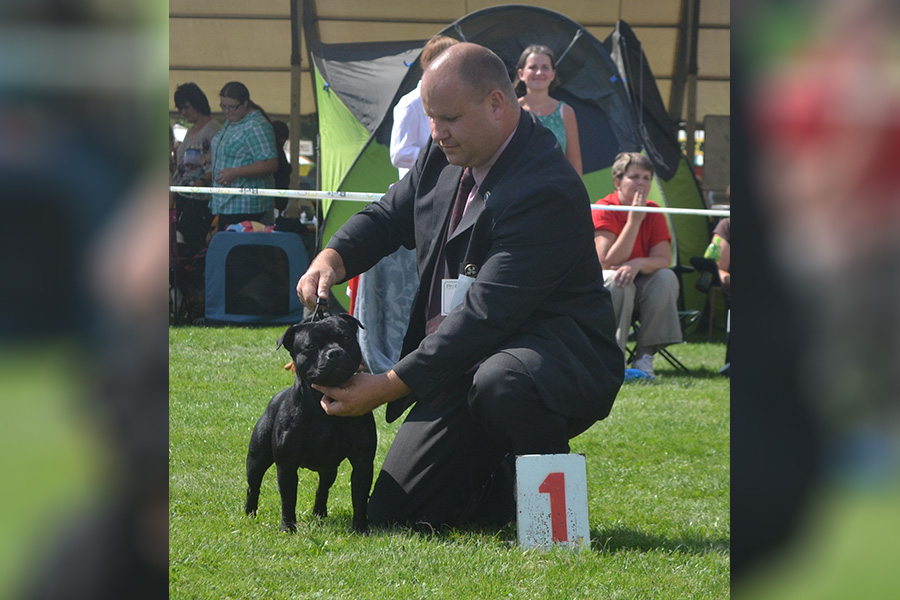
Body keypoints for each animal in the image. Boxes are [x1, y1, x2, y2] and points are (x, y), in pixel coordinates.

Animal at [243, 314, 376, 528]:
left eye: (346, 338)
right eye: (311, 345)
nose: (334, 353)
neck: (321, 405)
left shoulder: (362, 461)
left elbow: (359, 497)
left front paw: (360, 528)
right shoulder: (287, 466)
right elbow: (288, 500)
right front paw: (288, 528)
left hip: (329, 469)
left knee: (323, 488)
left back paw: (320, 513)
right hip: (257, 458)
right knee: (253, 485)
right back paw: (250, 513)